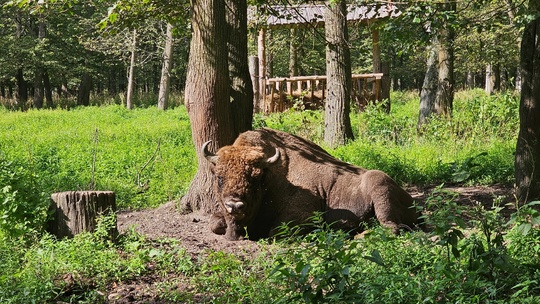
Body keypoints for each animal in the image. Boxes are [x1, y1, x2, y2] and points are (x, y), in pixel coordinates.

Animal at [205, 127, 420, 240]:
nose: (235, 205)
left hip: (379, 188)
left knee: (391, 226)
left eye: (256, 178)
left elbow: (275, 232)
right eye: (219, 177)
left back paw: (358, 236)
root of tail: (412, 201)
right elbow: (214, 223)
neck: (273, 178)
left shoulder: (302, 214)